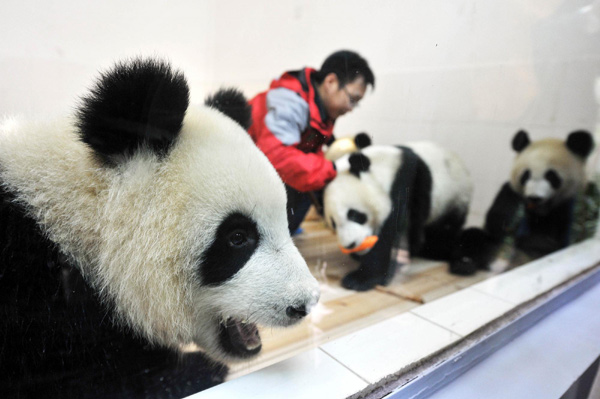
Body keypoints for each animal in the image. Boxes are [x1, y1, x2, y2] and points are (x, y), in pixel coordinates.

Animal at [324, 142, 474, 292]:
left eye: (354, 215)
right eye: (333, 223)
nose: (350, 245)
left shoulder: (406, 185)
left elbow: (392, 234)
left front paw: (360, 279)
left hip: (453, 198)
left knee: (444, 230)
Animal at [452, 130, 596, 276]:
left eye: (551, 176)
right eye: (526, 175)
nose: (534, 197)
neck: (540, 210)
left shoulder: (573, 205)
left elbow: (562, 240)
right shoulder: (509, 192)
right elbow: (496, 222)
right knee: (473, 237)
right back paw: (465, 264)